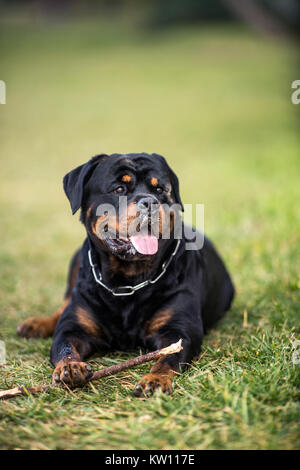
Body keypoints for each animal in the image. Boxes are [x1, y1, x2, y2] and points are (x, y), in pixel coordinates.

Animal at [17, 152, 234, 394]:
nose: (149, 201)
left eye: (160, 189)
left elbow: (168, 358)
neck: (128, 280)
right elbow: (65, 345)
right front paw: (71, 367)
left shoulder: (180, 330)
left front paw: (155, 379)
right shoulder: (72, 327)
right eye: (119, 188)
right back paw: (37, 325)